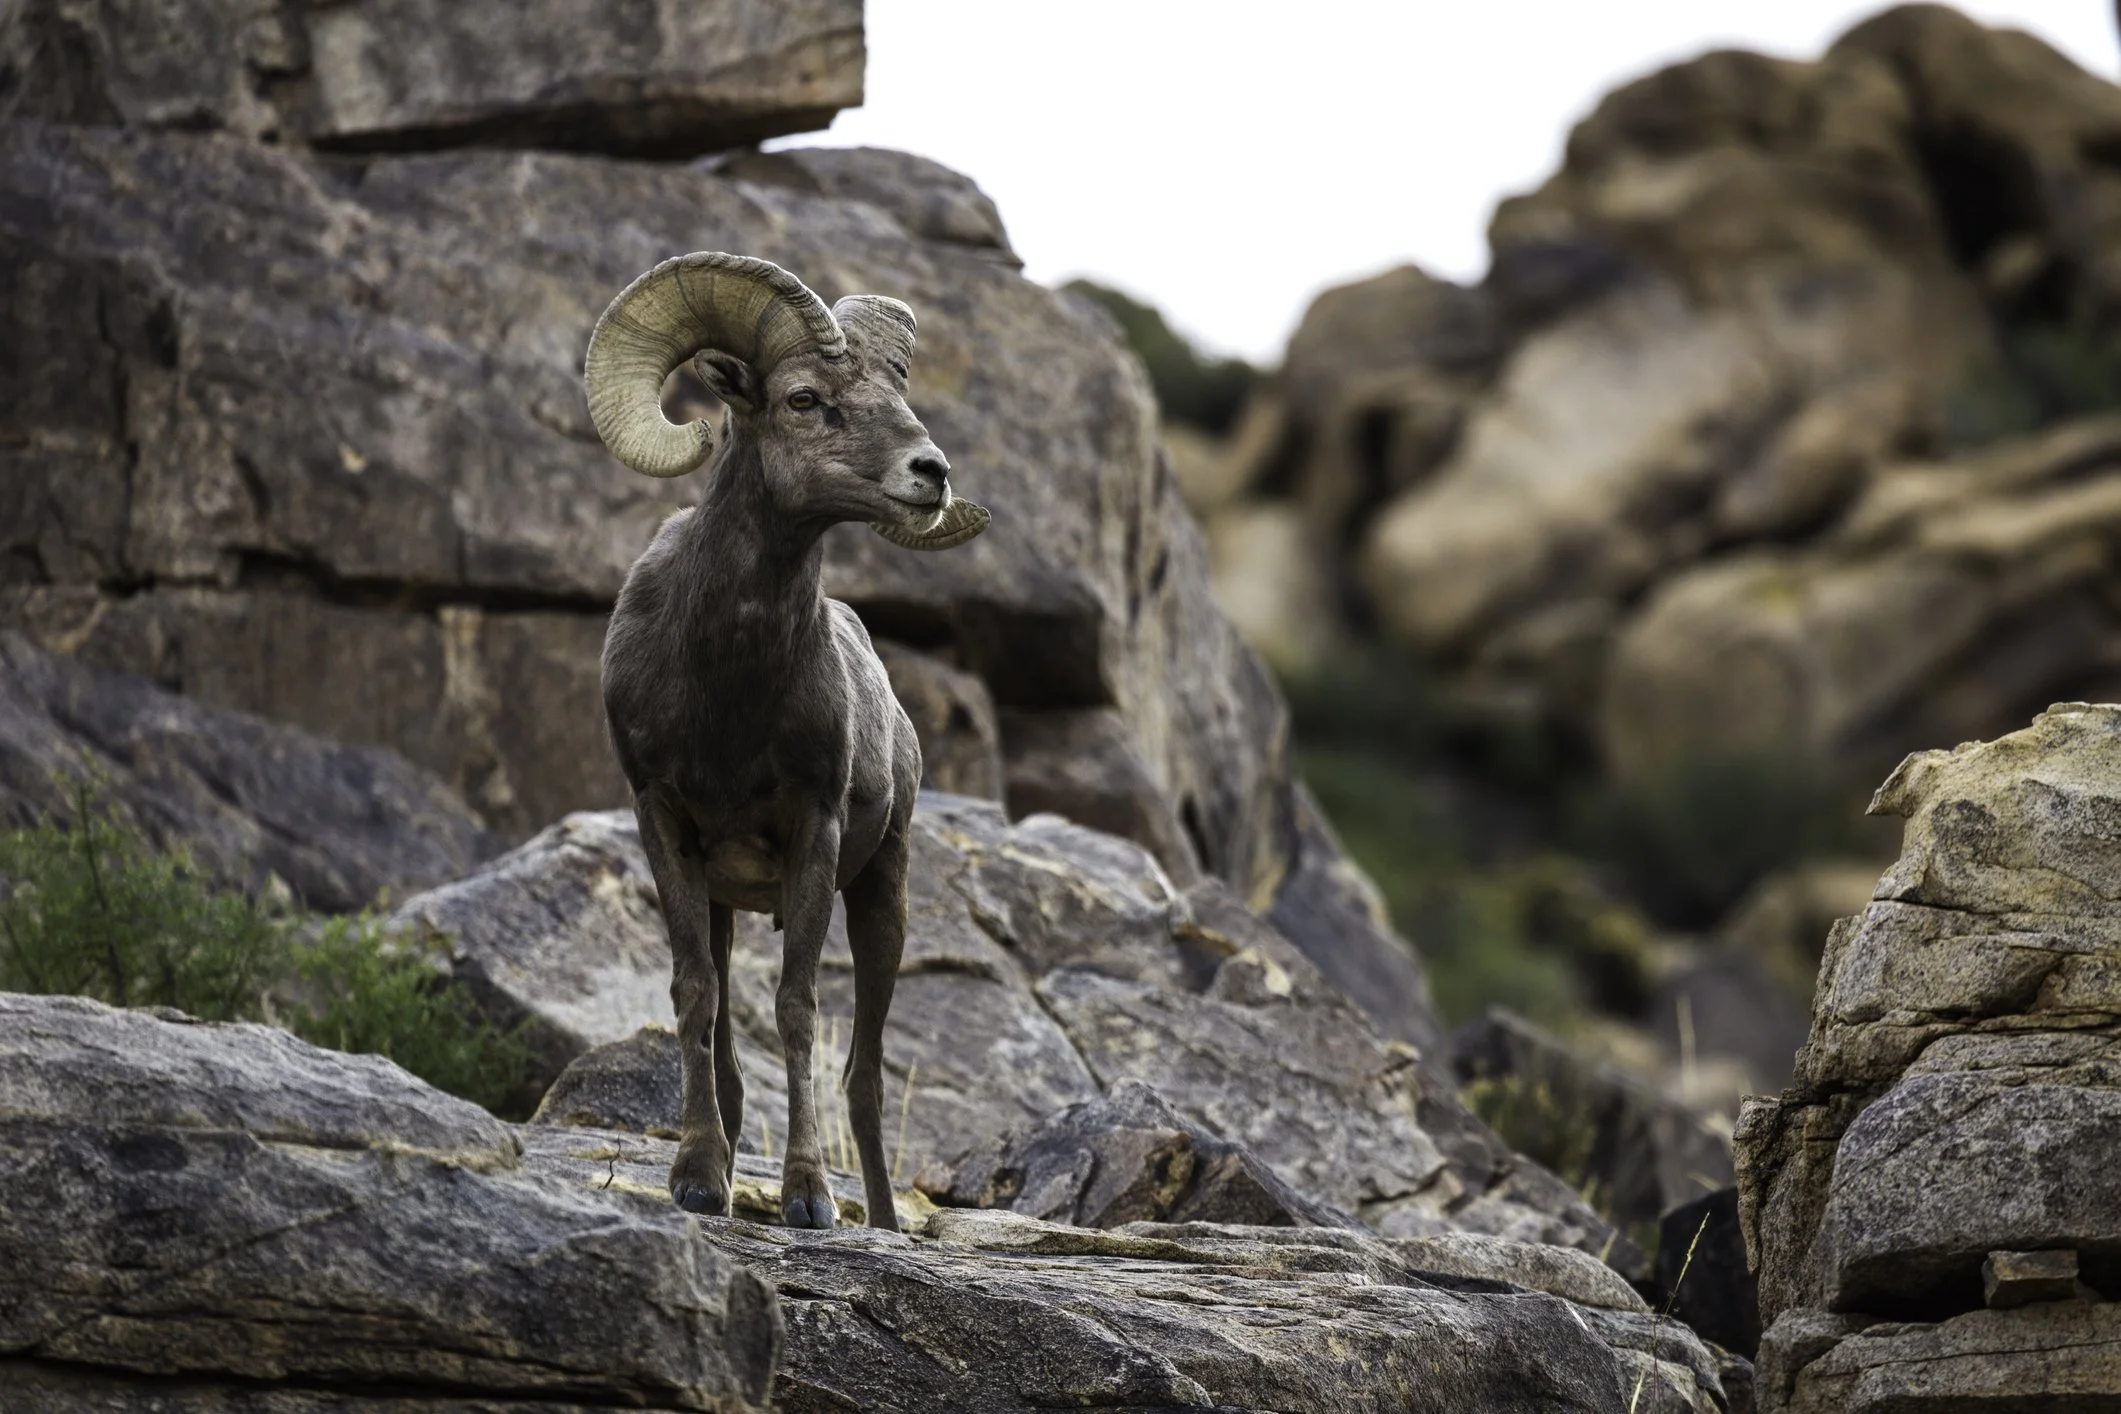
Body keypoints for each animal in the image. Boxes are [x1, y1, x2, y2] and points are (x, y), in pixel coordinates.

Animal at [582, 252, 988, 1230]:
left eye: (895, 390)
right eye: (805, 399)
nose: (930, 472)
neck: (729, 691)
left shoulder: (816, 832)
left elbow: (798, 1007)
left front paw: (807, 1198)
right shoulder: (665, 826)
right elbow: (695, 993)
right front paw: (697, 1181)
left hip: (883, 896)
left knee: (863, 1079)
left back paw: (880, 1221)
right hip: (732, 901)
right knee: (733, 1041)